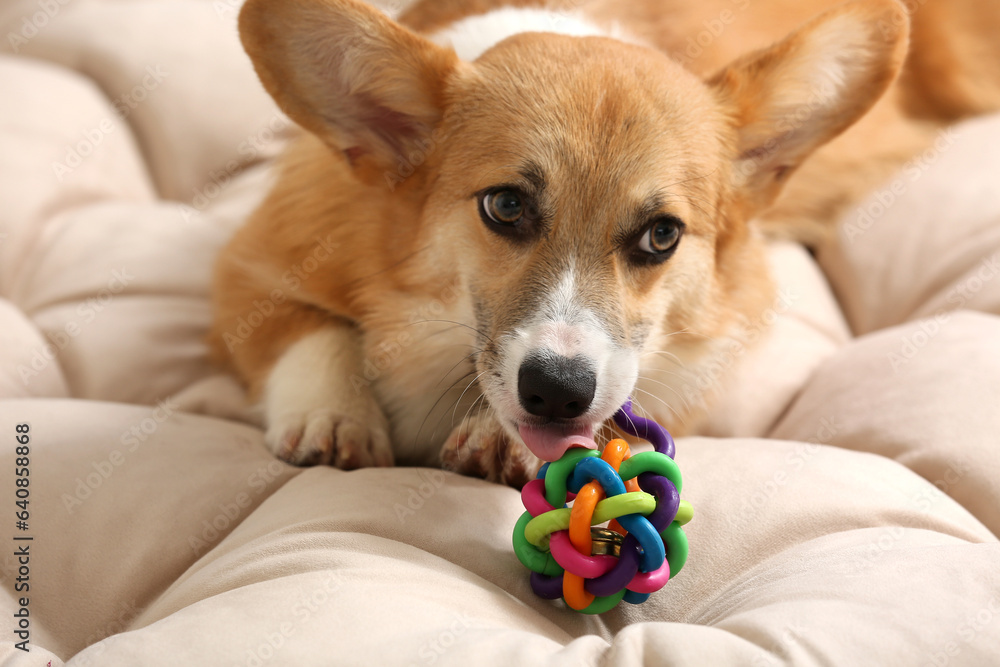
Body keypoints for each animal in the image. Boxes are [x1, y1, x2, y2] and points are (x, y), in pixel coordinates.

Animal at [209, 0, 1000, 486]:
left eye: (662, 235)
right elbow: (312, 333)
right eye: (505, 205)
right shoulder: (254, 263)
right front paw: (333, 416)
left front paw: (500, 437)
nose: (557, 392)